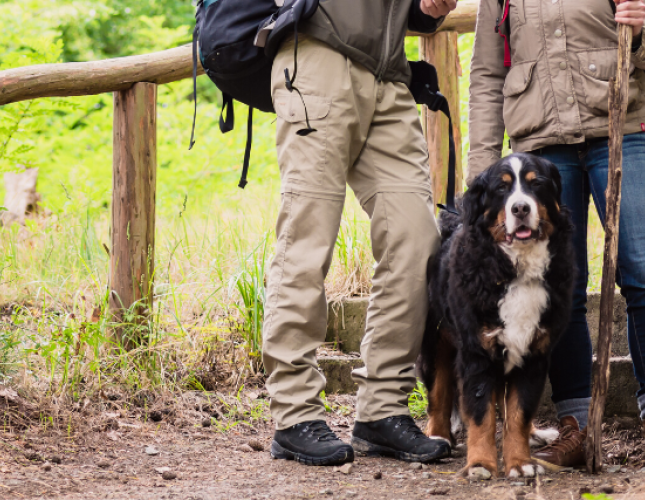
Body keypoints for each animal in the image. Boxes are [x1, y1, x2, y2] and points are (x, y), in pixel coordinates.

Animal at [418, 153, 572, 480]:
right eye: (502, 189)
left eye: (535, 183)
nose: (520, 208)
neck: (516, 270)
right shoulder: (477, 352)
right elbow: (481, 414)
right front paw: (480, 463)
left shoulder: (534, 353)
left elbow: (518, 413)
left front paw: (520, 462)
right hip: (435, 339)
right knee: (438, 391)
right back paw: (437, 436)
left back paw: (536, 434)